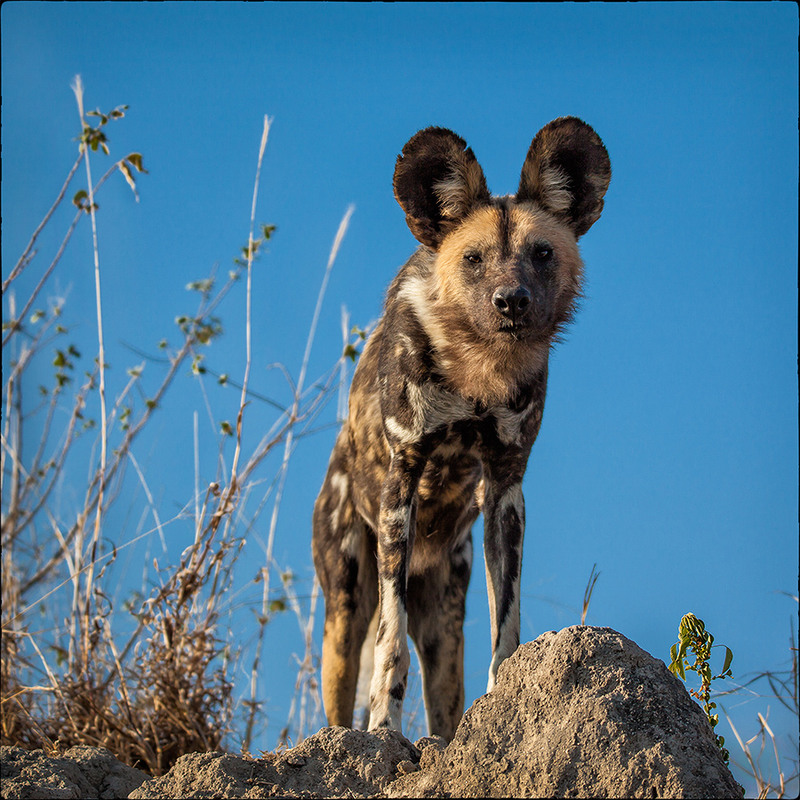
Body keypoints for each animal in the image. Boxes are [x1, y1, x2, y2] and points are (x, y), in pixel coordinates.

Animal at [310, 117, 608, 736]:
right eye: (473, 258)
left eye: (542, 252)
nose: (511, 301)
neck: (477, 369)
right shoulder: (402, 483)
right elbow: (391, 645)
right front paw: (385, 729)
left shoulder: (505, 492)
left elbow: (507, 626)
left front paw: (504, 703)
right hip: (344, 611)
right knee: (346, 687)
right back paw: (351, 737)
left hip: (445, 624)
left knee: (444, 695)